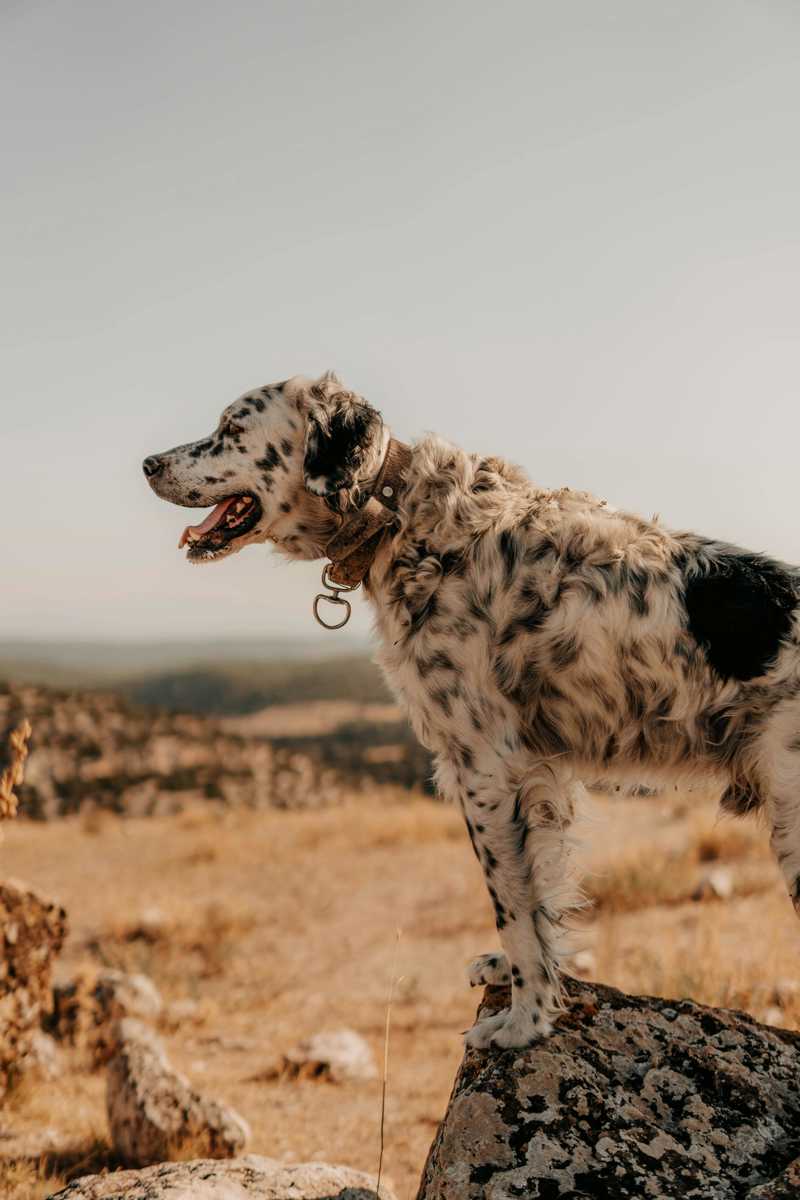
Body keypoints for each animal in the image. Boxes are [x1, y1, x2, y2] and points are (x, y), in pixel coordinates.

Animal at [143, 372, 800, 1051]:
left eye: (233, 429)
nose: (149, 464)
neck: (401, 518)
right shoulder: (531, 777)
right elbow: (538, 909)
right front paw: (516, 982)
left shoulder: (486, 766)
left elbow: (513, 907)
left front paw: (524, 1022)